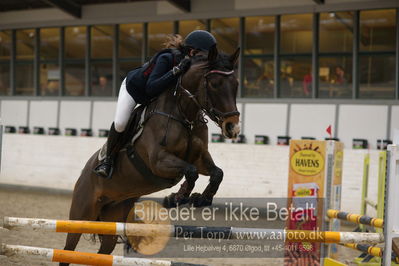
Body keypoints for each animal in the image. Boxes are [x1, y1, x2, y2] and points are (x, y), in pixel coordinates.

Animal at [59, 46, 241, 264]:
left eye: (236, 84)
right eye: (214, 84)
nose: (232, 127)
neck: (184, 115)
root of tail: (84, 173)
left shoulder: (199, 157)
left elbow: (216, 173)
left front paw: (202, 199)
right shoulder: (158, 161)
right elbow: (191, 172)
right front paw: (177, 197)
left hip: (113, 217)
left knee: (104, 251)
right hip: (82, 214)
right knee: (67, 249)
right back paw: (104, 167)